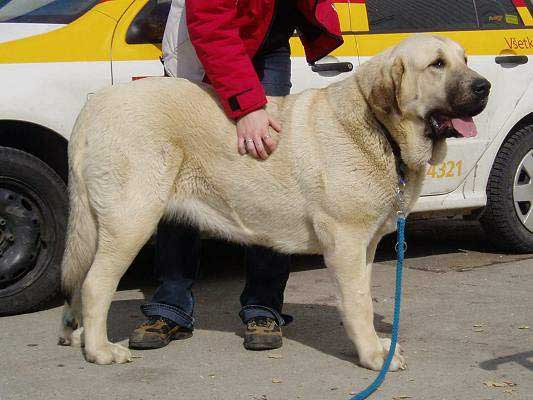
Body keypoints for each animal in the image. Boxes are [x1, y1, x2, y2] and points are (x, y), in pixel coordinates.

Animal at [59, 36, 490, 370]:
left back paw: (77, 334)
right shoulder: (346, 244)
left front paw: (378, 346)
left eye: (466, 59)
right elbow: (358, 304)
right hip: (131, 220)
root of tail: (93, 106)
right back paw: (100, 350)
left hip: (99, 224)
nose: (484, 86)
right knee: (96, 284)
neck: (381, 129)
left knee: (80, 280)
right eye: (437, 64)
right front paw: (372, 356)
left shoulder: (365, 246)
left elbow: (363, 297)